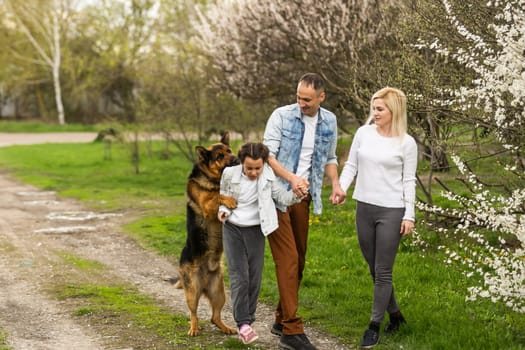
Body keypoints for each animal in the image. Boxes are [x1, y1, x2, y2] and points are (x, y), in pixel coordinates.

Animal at [178, 131, 239, 336]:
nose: (236, 159)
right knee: (193, 313)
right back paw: (194, 328)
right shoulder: (207, 204)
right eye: (219, 156)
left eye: (229, 150)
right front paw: (229, 199)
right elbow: (217, 195)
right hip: (192, 292)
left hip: (219, 292)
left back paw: (227, 328)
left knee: (214, 317)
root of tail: (204, 283)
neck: (213, 178)